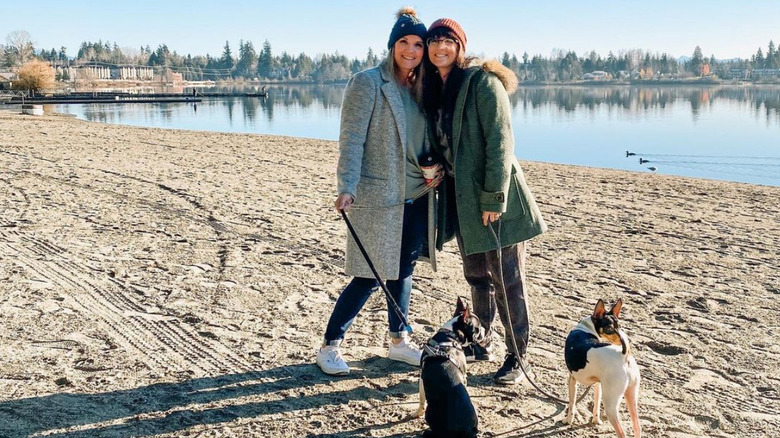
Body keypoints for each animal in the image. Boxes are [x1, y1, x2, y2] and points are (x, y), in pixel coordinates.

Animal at [412, 296, 484, 436]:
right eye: (478, 328)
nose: (484, 330)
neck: (451, 335)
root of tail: (468, 430)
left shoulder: (422, 379)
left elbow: (421, 399)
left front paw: (417, 412)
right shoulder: (464, 376)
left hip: (431, 412)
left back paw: (426, 432)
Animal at [564, 298, 644, 438]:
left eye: (619, 327)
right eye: (610, 328)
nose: (623, 338)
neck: (586, 327)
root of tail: (624, 355)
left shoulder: (572, 379)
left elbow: (572, 403)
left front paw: (568, 420)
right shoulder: (598, 384)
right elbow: (596, 405)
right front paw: (596, 420)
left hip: (611, 405)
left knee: (622, 433)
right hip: (631, 395)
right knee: (637, 427)